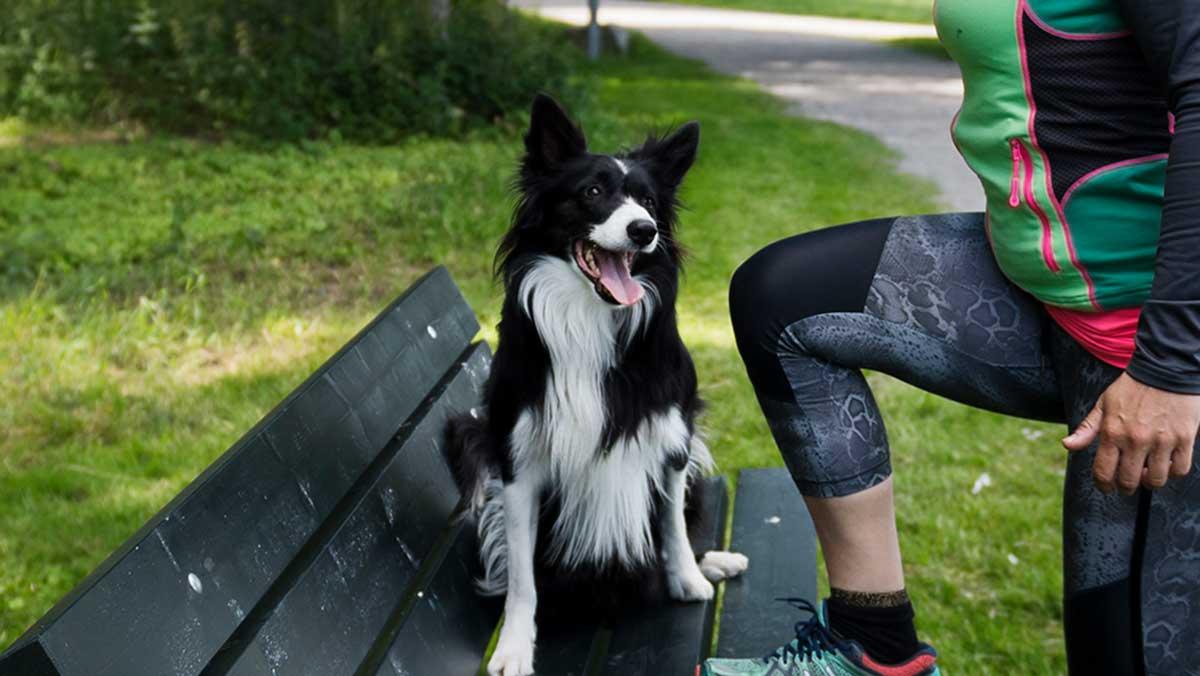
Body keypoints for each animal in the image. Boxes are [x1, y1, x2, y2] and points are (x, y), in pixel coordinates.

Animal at [448, 95, 744, 676]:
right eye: (592, 192)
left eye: (648, 200)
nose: (644, 230)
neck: (589, 320)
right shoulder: (518, 460)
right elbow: (523, 578)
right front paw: (514, 645)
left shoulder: (672, 435)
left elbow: (671, 526)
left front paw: (686, 579)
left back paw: (713, 562)